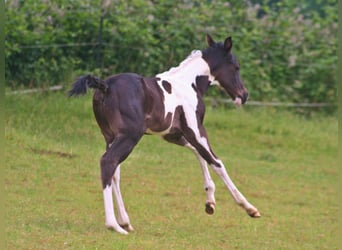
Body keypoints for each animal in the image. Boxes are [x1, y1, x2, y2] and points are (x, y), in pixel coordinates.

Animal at [70, 34, 262, 234]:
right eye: (236, 67)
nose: (244, 95)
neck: (189, 83)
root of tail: (105, 85)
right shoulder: (195, 129)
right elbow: (216, 162)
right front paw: (249, 208)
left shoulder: (173, 134)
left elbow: (198, 153)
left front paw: (210, 202)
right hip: (130, 136)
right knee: (108, 162)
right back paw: (114, 225)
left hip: (110, 136)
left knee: (115, 170)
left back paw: (125, 222)